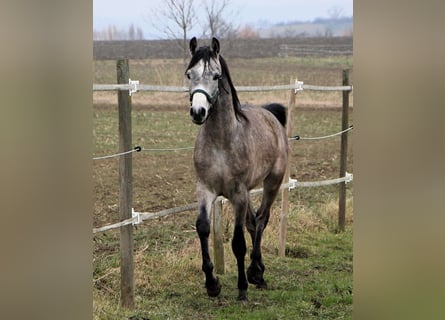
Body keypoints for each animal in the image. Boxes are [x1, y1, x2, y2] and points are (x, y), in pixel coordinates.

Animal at [184, 37, 288, 300]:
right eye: (189, 74)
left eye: (216, 76)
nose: (198, 112)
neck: (222, 141)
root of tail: (270, 114)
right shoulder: (205, 189)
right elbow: (203, 228)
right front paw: (212, 284)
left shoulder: (238, 194)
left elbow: (238, 242)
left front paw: (242, 288)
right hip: (249, 191)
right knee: (253, 222)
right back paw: (257, 271)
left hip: (272, 183)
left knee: (261, 220)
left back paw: (255, 274)